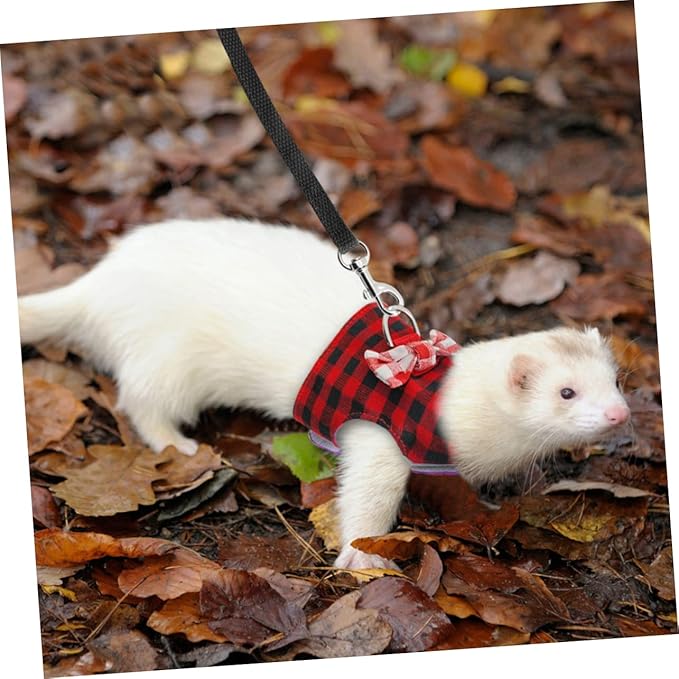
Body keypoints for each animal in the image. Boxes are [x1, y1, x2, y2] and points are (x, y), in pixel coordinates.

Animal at [17, 218, 630, 570]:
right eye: (567, 391)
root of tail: (100, 280)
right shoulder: (377, 439)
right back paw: (182, 443)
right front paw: (362, 559)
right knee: (141, 401)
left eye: (616, 377)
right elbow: (365, 499)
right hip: (164, 360)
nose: (620, 411)